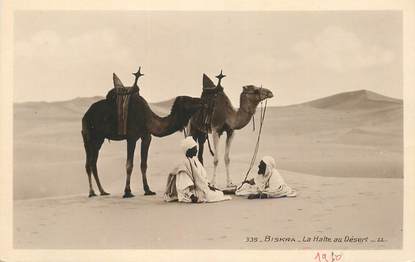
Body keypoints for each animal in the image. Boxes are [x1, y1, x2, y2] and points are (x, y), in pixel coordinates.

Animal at [81, 70, 203, 198]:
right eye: (189, 100)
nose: (202, 101)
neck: (147, 118)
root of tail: (85, 115)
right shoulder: (131, 138)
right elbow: (129, 165)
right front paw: (127, 192)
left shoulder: (146, 137)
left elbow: (144, 165)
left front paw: (148, 190)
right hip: (88, 136)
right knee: (88, 164)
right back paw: (92, 192)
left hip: (99, 139)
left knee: (93, 163)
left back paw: (102, 191)